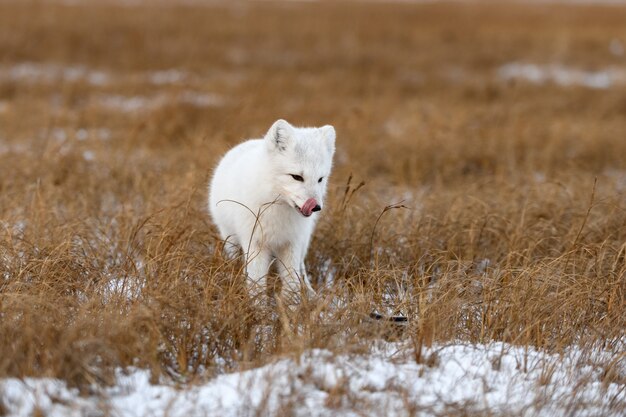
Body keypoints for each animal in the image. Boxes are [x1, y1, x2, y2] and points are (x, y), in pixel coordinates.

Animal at [208, 118, 336, 304]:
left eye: (320, 179)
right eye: (297, 177)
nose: (316, 207)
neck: (278, 208)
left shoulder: (291, 243)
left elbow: (291, 281)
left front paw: (292, 306)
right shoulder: (255, 243)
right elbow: (256, 282)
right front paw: (258, 308)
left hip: (303, 242)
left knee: (302, 270)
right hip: (230, 238)